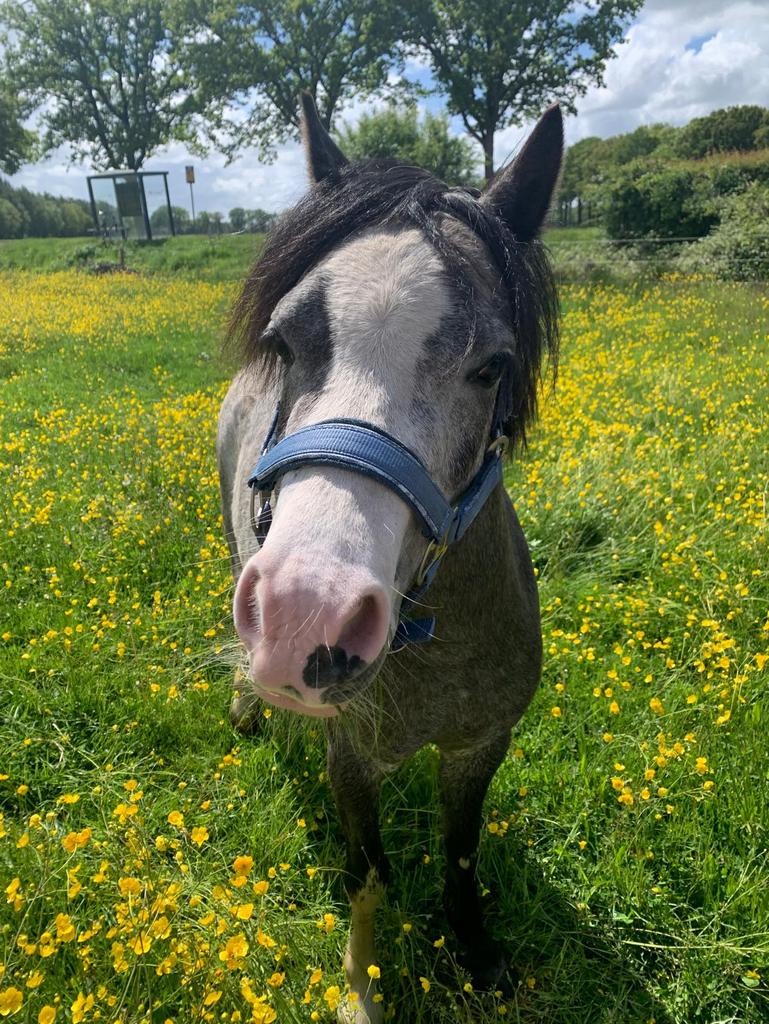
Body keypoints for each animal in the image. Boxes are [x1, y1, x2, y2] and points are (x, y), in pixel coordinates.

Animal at [217, 93, 562, 1022]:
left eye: (492, 366)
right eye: (284, 341)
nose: (305, 619)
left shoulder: (481, 744)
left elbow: (460, 856)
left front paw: (478, 958)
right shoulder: (352, 760)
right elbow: (367, 877)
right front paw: (361, 990)